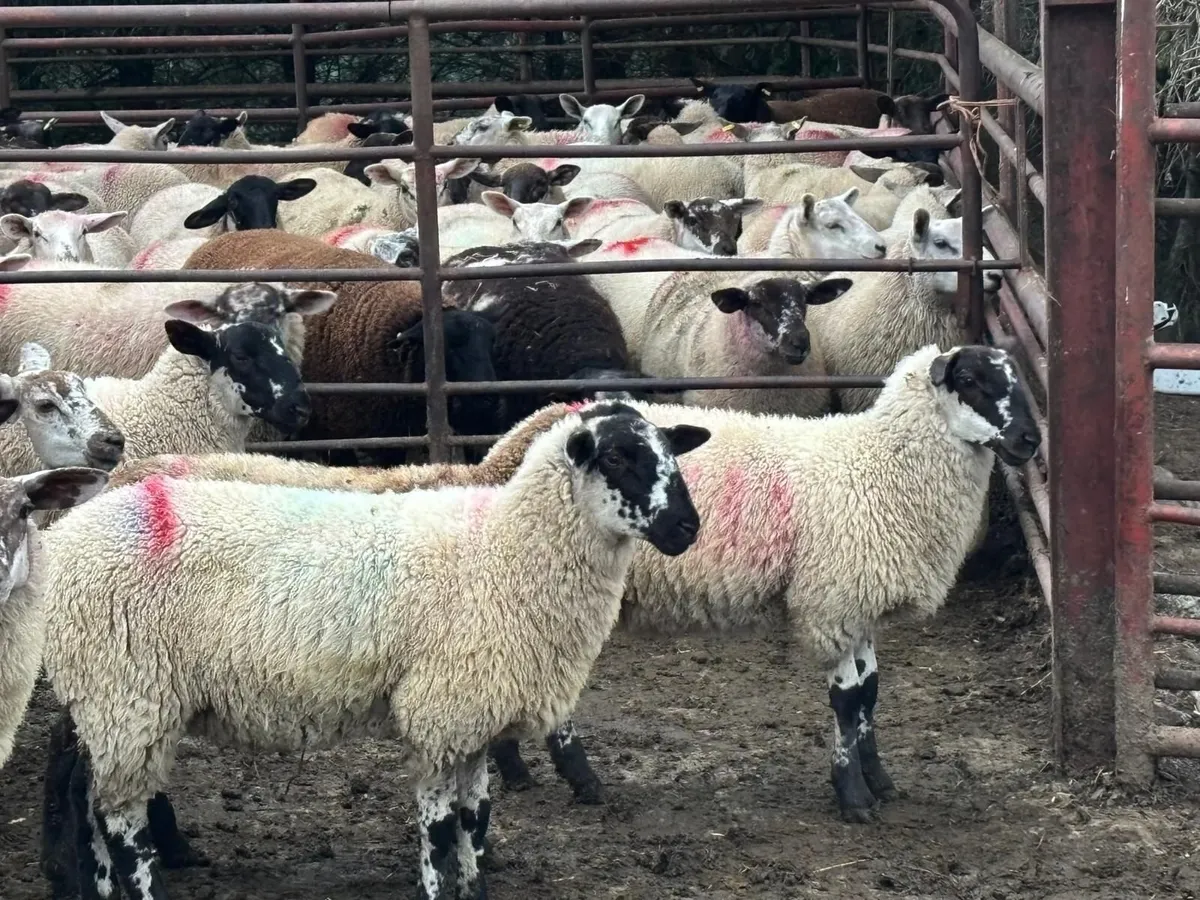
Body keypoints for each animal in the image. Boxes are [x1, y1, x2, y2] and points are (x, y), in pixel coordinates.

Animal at [37, 402, 707, 900]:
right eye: (617, 456)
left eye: (672, 452)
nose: (687, 529)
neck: (504, 549)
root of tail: (67, 534)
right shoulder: (440, 710)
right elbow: (439, 831)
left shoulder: (473, 712)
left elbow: (475, 820)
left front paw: (475, 882)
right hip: (125, 691)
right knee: (120, 823)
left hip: (109, 697)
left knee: (88, 797)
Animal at [183, 231, 503, 461]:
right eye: (448, 348)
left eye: (490, 343)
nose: (487, 402)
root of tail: (222, 237)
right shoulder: (339, 428)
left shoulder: (392, 430)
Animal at [491, 346, 1043, 821]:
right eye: (970, 381)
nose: (1030, 441)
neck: (884, 463)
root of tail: (528, 433)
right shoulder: (831, 603)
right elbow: (847, 704)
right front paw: (853, 797)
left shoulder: (857, 605)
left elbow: (870, 693)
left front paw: (879, 781)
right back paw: (580, 780)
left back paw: (516, 770)